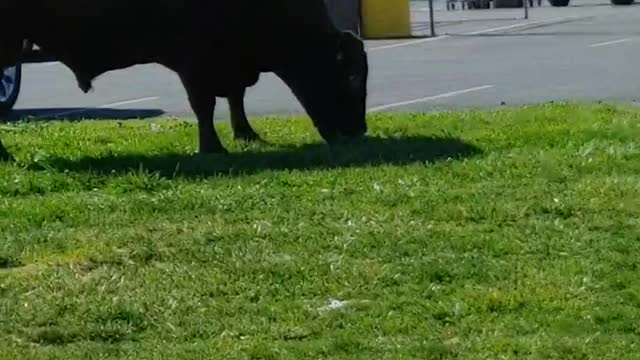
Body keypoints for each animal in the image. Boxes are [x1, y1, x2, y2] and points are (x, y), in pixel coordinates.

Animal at [0, 0, 370, 160]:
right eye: (351, 76)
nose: (358, 132)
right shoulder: (194, 60)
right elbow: (203, 105)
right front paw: (212, 147)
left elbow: (235, 97)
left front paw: (246, 134)